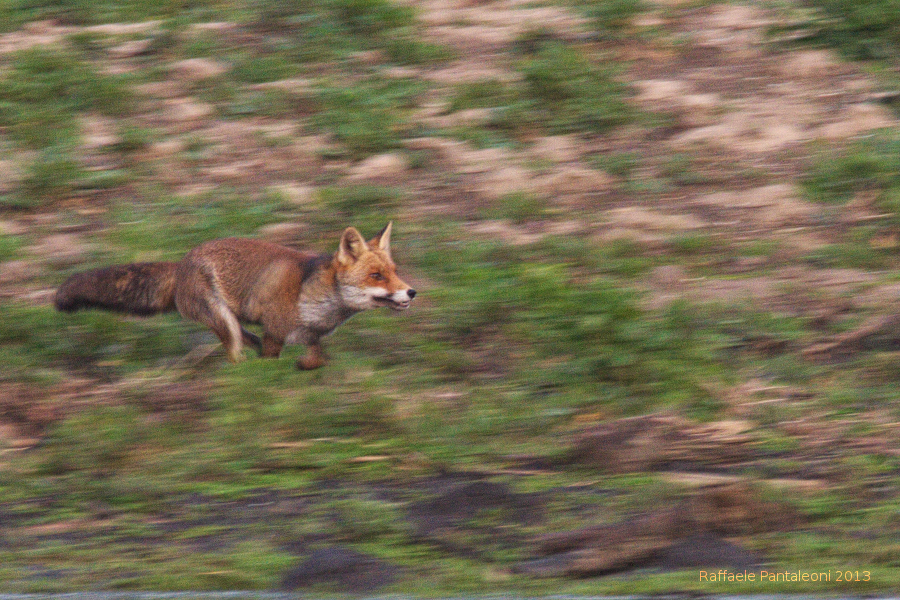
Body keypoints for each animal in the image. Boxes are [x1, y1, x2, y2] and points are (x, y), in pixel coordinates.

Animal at [58, 223, 416, 368]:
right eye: (376, 275)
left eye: (394, 271)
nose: (411, 291)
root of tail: (182, 262)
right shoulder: (275, 331)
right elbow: (276, 360)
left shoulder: (308, 335)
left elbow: (317, 358)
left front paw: (306, 367)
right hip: (224, 321)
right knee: (235, 357)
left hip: (232, 323)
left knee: (243, 344)